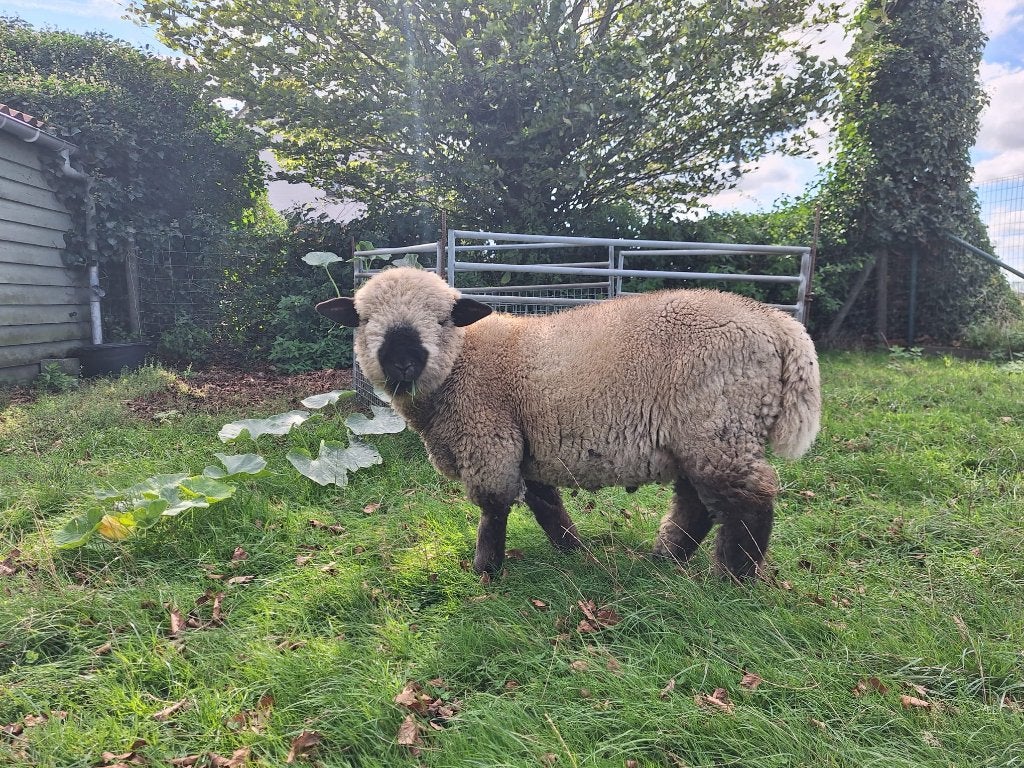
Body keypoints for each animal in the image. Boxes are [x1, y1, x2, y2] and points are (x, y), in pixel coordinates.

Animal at [317, 266, 821, 579]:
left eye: (443, 319)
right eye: (363, 319)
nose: (401, 360)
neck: (462, 361)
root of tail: (780, 326)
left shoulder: (489, 439)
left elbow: (493, 508)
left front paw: (486, 569)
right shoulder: (529, 445)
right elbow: (546, 504)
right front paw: (572, 550)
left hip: (718, 424)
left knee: (750, 498)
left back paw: (733, 578)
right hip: (696, 435)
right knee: (696, 503)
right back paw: (666, 558)